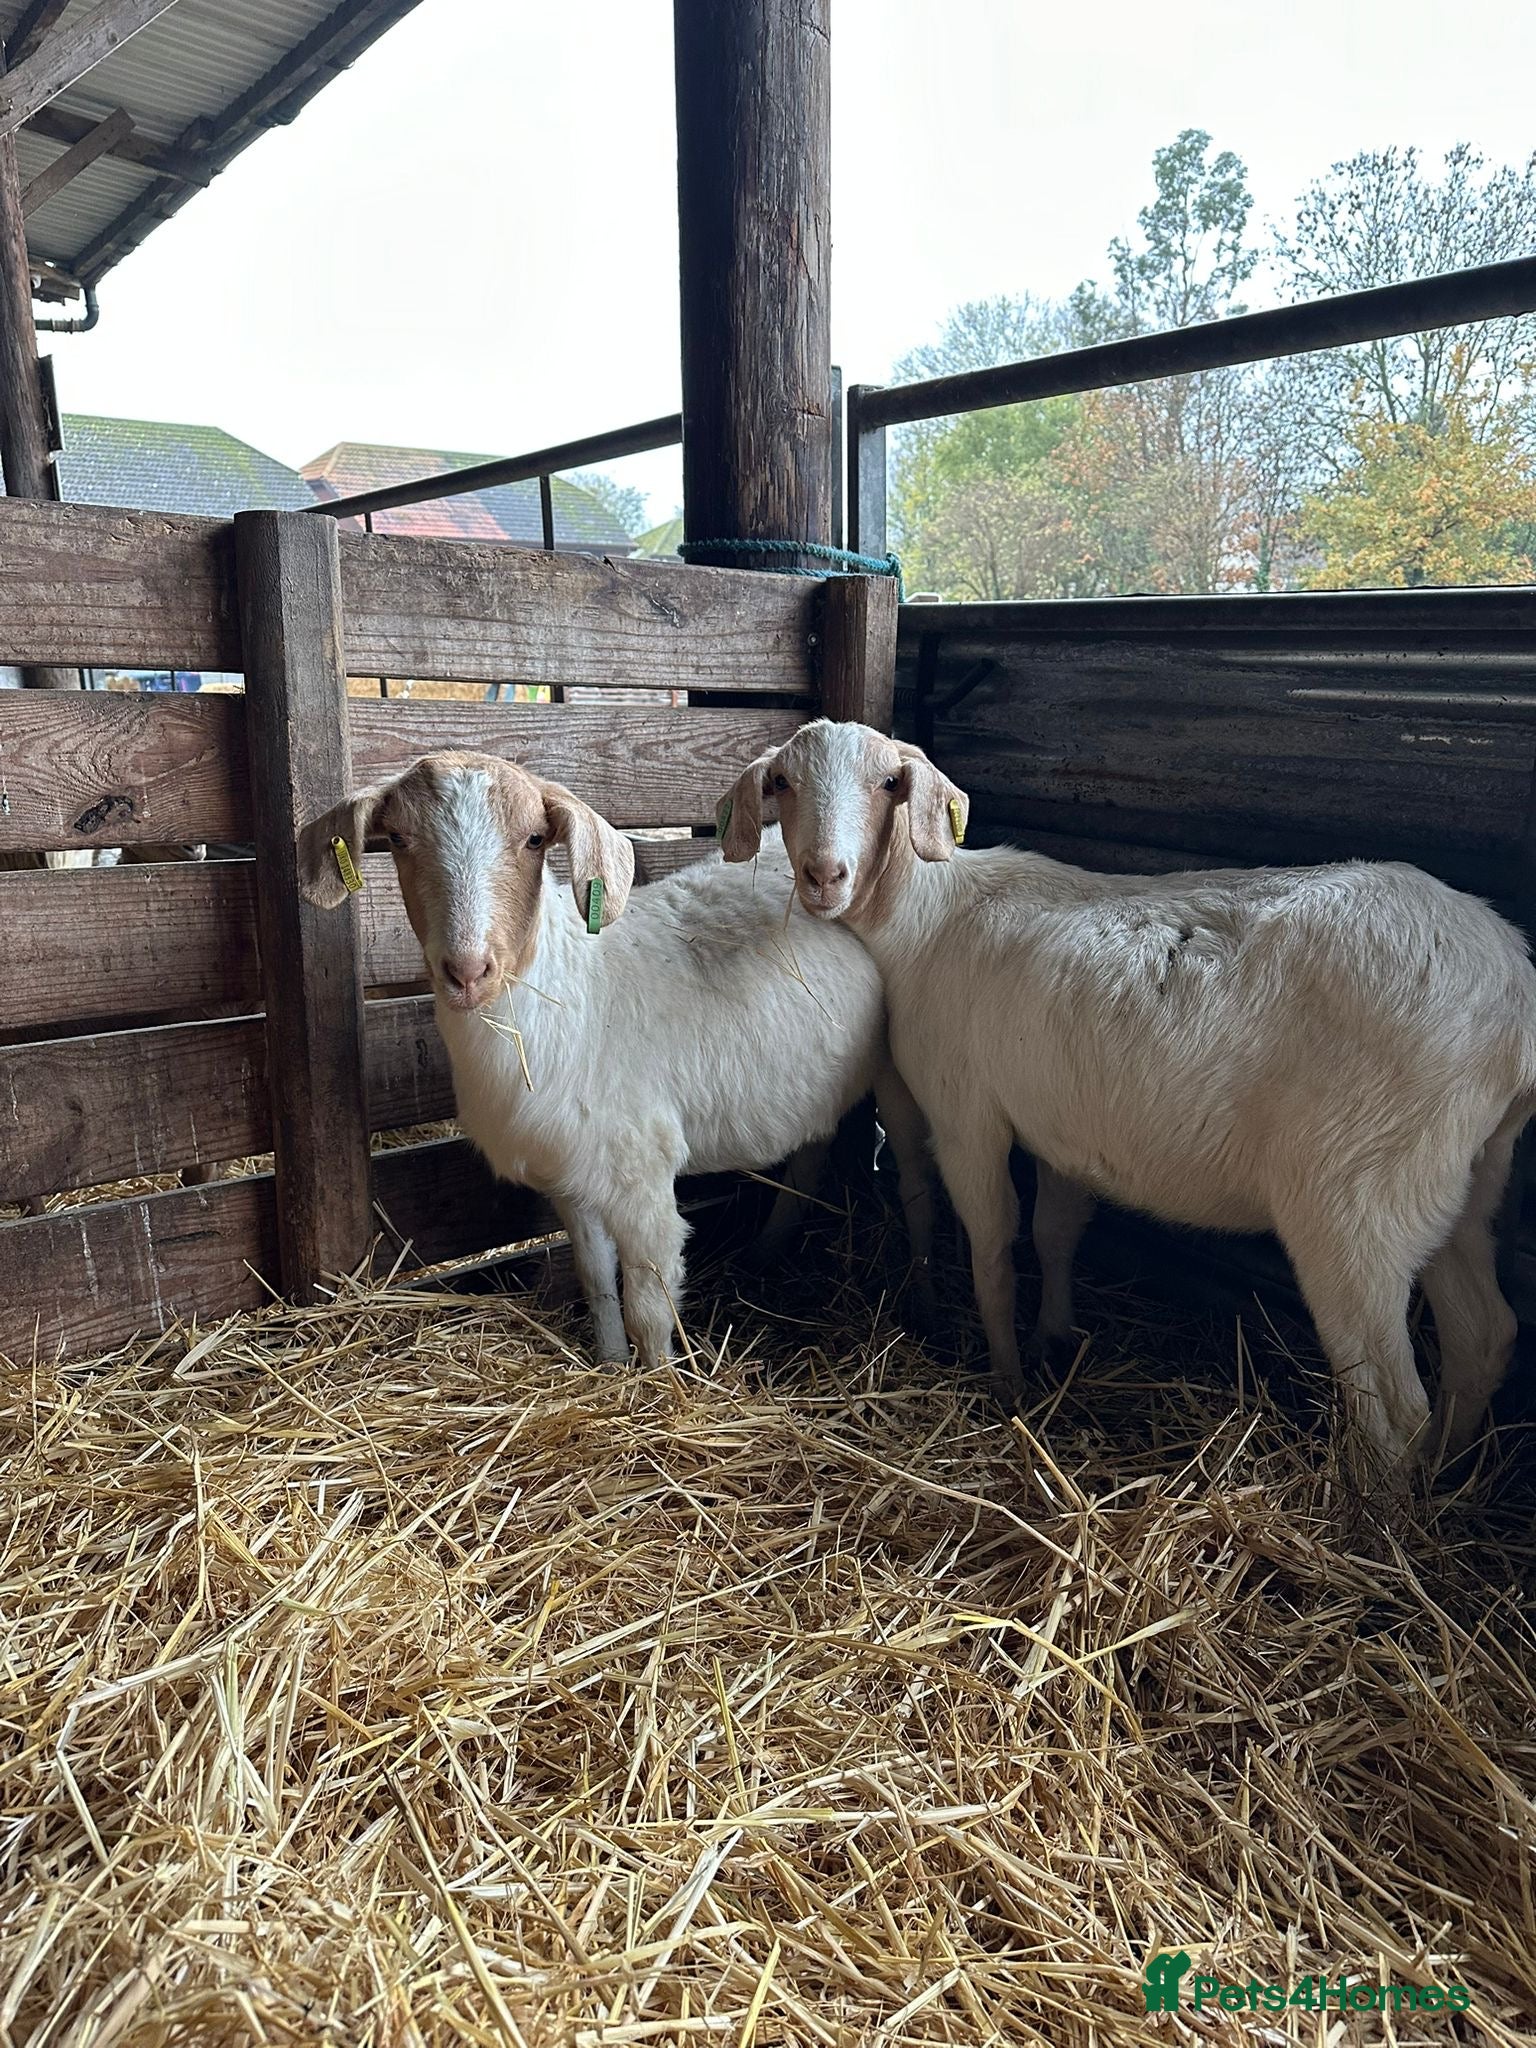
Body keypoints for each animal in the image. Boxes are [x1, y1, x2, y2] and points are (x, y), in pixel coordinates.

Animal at [298, 750, 933, 1367]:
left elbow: (649, 1306)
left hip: (896, 1072)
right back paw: (767, 1249)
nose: (467, 970)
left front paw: (658, 1382)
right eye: (398, 839)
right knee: (813, 1147)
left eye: (535, 839)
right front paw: (608, 1364)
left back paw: (922, 1289)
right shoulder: (572, 1177)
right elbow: (598, 1280)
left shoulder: (642, 1176)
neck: (572, 991)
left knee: (914, 1174)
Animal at [718, 718, 1536, 1471]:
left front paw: (1008, 1380)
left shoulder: (967, 1115)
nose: (825, 875)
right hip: (1454, 1182)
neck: (926, 917)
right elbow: (1055, 1232)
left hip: (1356, 1196)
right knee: (1483, 1336)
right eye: (783, 781)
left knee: (1395, 1410)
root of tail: (1515, 1003)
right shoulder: (1063, 1130)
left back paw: (1380, 1513)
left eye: (889, 783)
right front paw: (1052, 1339)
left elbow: (993, 1246)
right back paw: (1448, 1477)